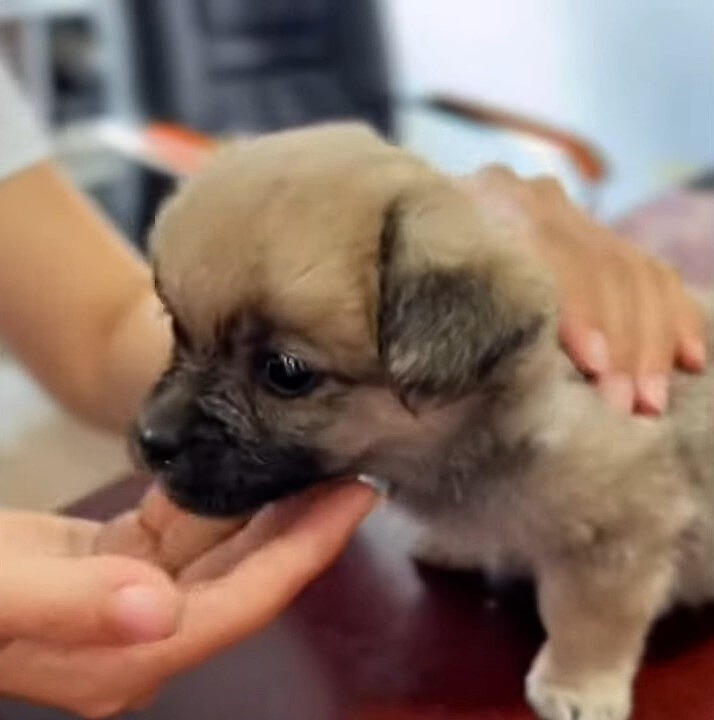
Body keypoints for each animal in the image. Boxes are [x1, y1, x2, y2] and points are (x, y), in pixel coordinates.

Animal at [135, 124, 712, 720]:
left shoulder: (617, 536)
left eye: (285, 372)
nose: (151, 440)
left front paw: (578, 683)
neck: (478, 430)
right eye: (177, 328)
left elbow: (589, 618)